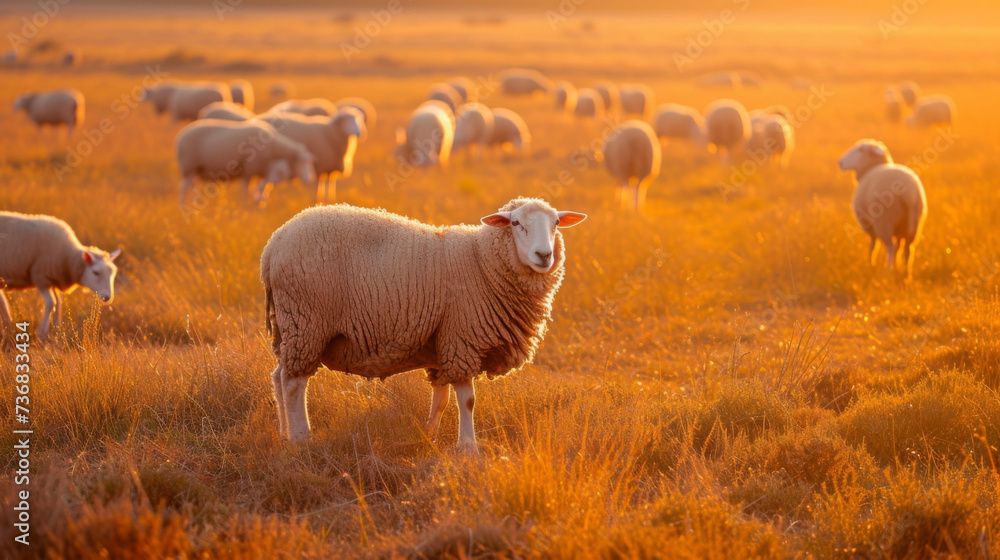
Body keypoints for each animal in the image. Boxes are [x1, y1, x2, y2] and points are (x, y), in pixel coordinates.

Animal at [0, 212, 120, 342]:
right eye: (96, 272)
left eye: (113, 272)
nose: (107, 297)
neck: (68, 257)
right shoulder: (41, 276)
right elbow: (50, 302)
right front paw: (41, 333)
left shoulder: (52, 278)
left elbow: (58, 302)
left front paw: (58, 330)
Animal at [175, 119, 316, 209]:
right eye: (302, 162)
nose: (308, 179)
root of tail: (181, 134)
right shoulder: (249, 170)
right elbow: (247, 189)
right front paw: (246, 205)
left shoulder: (261, 171)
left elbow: (261, 188)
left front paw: (259, 203)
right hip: (189, 166)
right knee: (184, 188)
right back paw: (182, 205)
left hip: (196, 169)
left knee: (192, 186)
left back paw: (192, 202)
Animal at [260, 197, 588, 450]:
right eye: (516, 224)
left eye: (556, 223)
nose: (544, 255)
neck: (481, 260)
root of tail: (272, 246)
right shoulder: (462, 338)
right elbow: (467, 400)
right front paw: (468, 447)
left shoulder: (442, 342)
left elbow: (441, 397)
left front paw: (430, 435)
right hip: (307, 320)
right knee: (293, 383)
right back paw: (302, 438)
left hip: (290, 325)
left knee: (278, 377)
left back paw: (284, 435)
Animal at [838, 139, 927, 279]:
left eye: (860, 149)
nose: (840, 162)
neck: (869, 169)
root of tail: (909, 193)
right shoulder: (899, 231)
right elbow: (899, 247)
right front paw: (897, 267)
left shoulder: (869, 226)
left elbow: (873, 245)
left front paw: (870, 265)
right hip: (915, 224)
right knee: (907, 249)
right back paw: (907, 276)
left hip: (885, 222)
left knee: (890, 247)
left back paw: (888, 273)